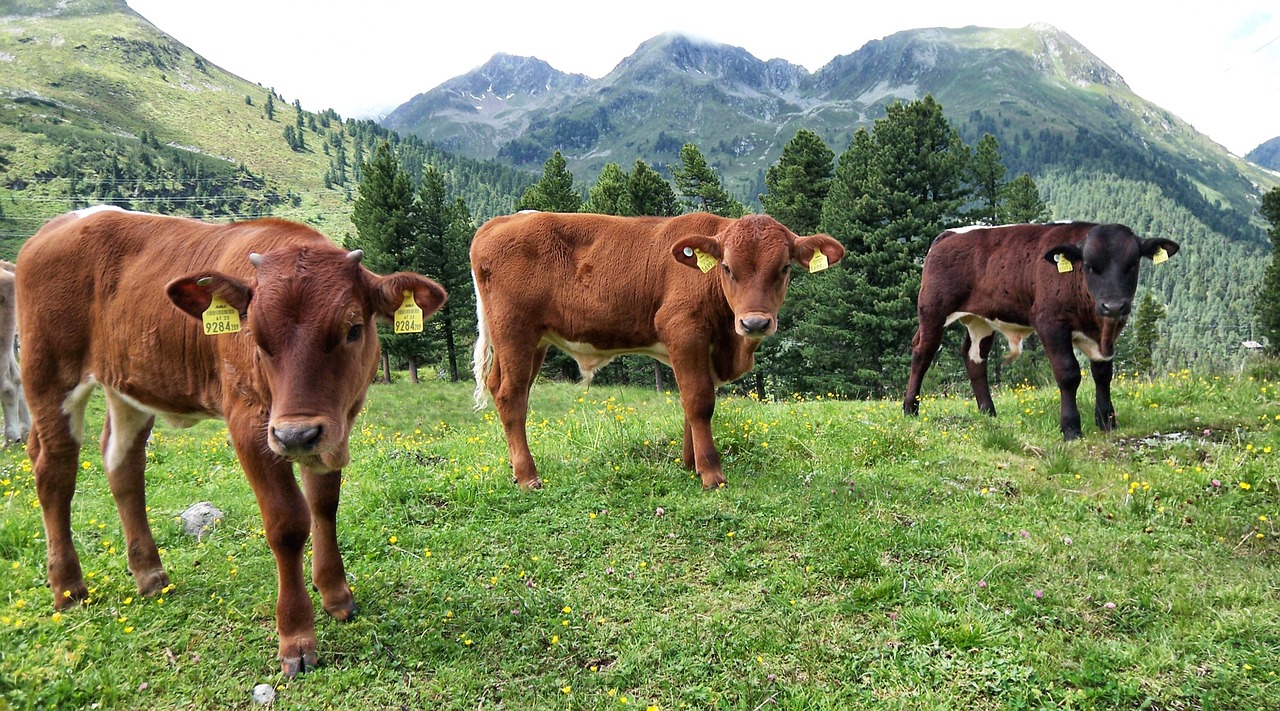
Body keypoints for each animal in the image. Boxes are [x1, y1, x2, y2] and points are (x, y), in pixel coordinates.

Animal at [17, 207, 448, 676]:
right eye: (255, 337)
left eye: (352, 329)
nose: (295, 434)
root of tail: (60, 223)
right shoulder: (252, 423)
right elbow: (287, 522)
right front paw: (296, 637)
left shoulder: (332, 426)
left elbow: (324, 505)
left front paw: (336, 594)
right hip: (48, 373)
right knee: (54, 471)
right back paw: (68, 587)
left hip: (127, 385)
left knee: (123, 465)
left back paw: (149, 574)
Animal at [471, 211, 839, 489]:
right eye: (727, 267)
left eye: (784, 268)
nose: (755, 323)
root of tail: (503, 221)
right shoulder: (683, 329)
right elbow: (700, 402)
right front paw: (711, 473)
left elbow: (690, 403)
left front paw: (690, 463)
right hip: (514, 331)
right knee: (511, 396)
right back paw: (528, 476)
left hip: (531, 342)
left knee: (500, 387)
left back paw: (513, 467)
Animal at [906, 221, 1172, 440]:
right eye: (1088, 265)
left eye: (1133, 264)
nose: (1113, 305)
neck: (1097, 326)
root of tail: (949, 234)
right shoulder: (1050, 324)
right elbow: (1068, 373)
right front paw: (1071, 428)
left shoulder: (1109, 332)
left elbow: (1103, 374)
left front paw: (1107, 422)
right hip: (933, 310)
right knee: (922, 353)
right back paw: (910, 409)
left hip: (981, 320)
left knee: (975, 358)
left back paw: (988, 412)